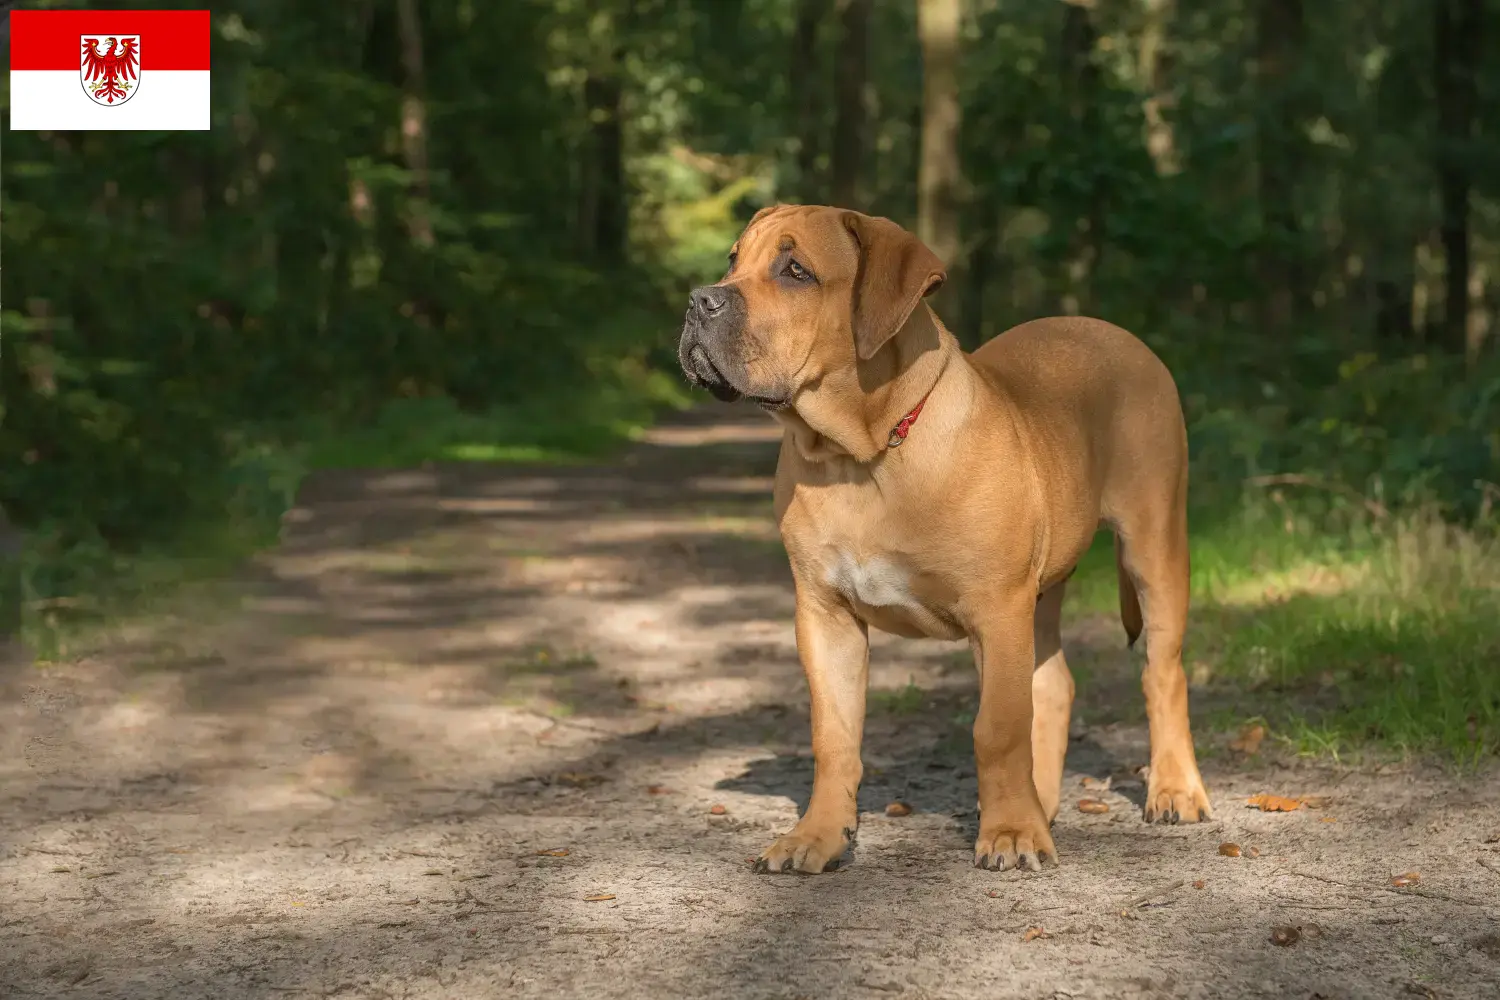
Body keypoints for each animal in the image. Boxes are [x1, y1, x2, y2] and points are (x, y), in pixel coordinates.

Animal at [675, 205, 1212, 875]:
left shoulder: (997, 609)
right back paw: (1043, 804)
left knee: (1162, 673)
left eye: (795, 270)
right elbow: (834, 734)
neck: (862, 455)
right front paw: (817, 836)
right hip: (1044, 592)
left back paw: (1173, 791)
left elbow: (997, 728)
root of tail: (1120, 334)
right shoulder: (824, 615)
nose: (698, 299)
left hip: (1153, 544)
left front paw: (1009, 834)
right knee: (1053, 684)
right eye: (732, 260)